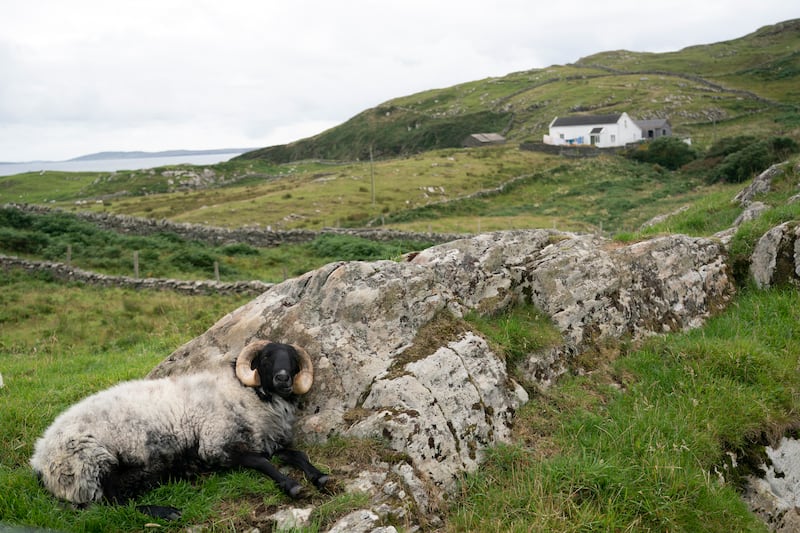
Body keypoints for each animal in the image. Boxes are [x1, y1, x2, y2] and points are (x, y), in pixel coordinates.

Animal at [30, 340, 328, 519]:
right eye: (266, 358)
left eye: (293, 360)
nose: (283, 379)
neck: (248, 394)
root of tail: (39, 459)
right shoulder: (214, 446)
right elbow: (261, 462)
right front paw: (291, 485)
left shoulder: (264, 440)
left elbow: (296, 454)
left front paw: (320, 477)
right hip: (91, 465)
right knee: (108, 504)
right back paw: (167, 511)